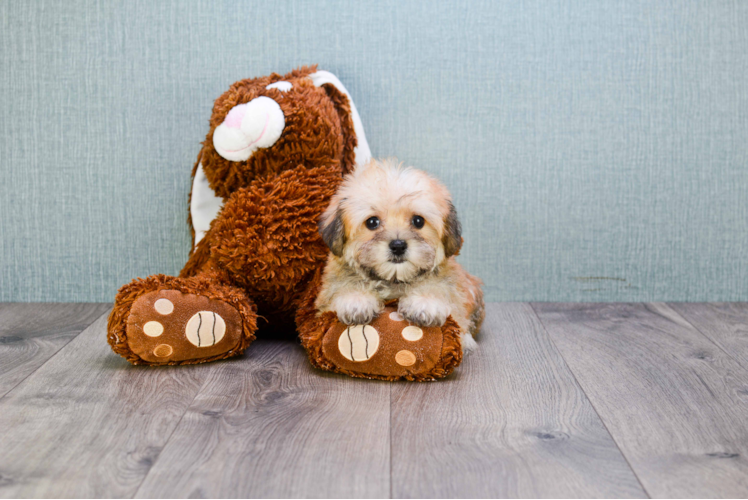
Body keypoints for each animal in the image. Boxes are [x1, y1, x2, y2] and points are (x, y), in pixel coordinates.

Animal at [316, 158, 486, 350]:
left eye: (418, 221)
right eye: (372, 222)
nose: (398, 246)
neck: (393, 281)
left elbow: (438, 288)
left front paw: (425, 301)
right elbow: (344, 287)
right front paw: (355, 299)